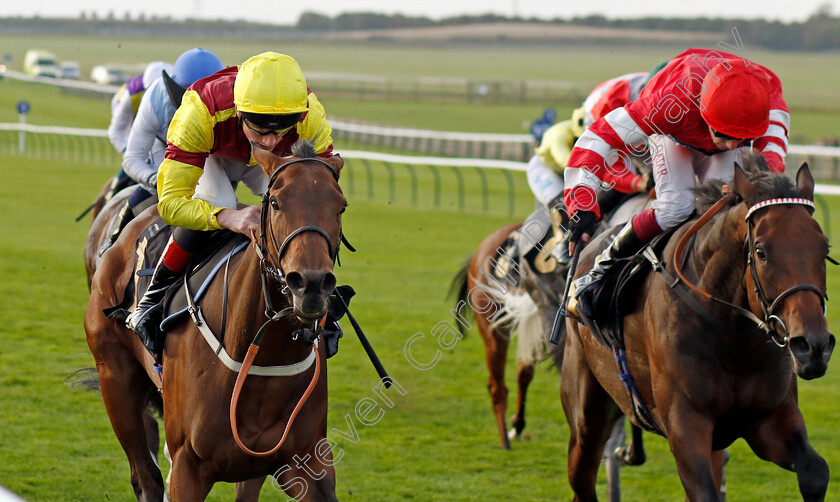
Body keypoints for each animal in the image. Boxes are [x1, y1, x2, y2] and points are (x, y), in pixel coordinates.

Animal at [84, 142, 344, 502]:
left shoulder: (304, 462)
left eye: (341, 207)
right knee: (146, 476)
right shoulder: (187, 467)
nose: (312, 284)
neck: (263, 355)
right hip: (115, 378)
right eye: (276, 203)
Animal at [564, 155, 832, 500]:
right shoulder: (685, 424)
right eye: (760, 251)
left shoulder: (770, 420)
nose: (813, 346)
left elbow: (816, 472)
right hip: (587, 411)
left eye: (825, 248)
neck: (732, 337)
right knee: (582, 478)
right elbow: (704, 490)